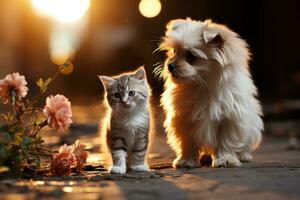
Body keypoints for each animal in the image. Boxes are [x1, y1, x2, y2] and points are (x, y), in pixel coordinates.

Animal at [158, 18, 264, 167]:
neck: (202, 86)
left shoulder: (230, 119)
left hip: (253, 127)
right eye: (174, 51)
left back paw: (243, 155)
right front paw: (187, 160)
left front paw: (225, 159)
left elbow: (227, 140)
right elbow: (187, 141)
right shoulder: (184, 119)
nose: (170, 65)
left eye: (191, 56)